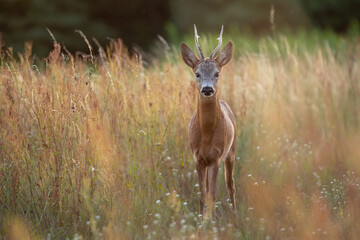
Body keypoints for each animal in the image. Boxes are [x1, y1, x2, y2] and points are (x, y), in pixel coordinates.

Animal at [180, 24, 236, 218]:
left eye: (217, 73)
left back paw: (236, 215)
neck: (206, 134)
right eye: (197, 73)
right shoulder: (197, 157)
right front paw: (201, 219)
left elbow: (212, 195)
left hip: (231, 151)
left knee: (230, 184)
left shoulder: (216, 157)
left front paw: (208, 221)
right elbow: (202, 194)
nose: (207, 89)